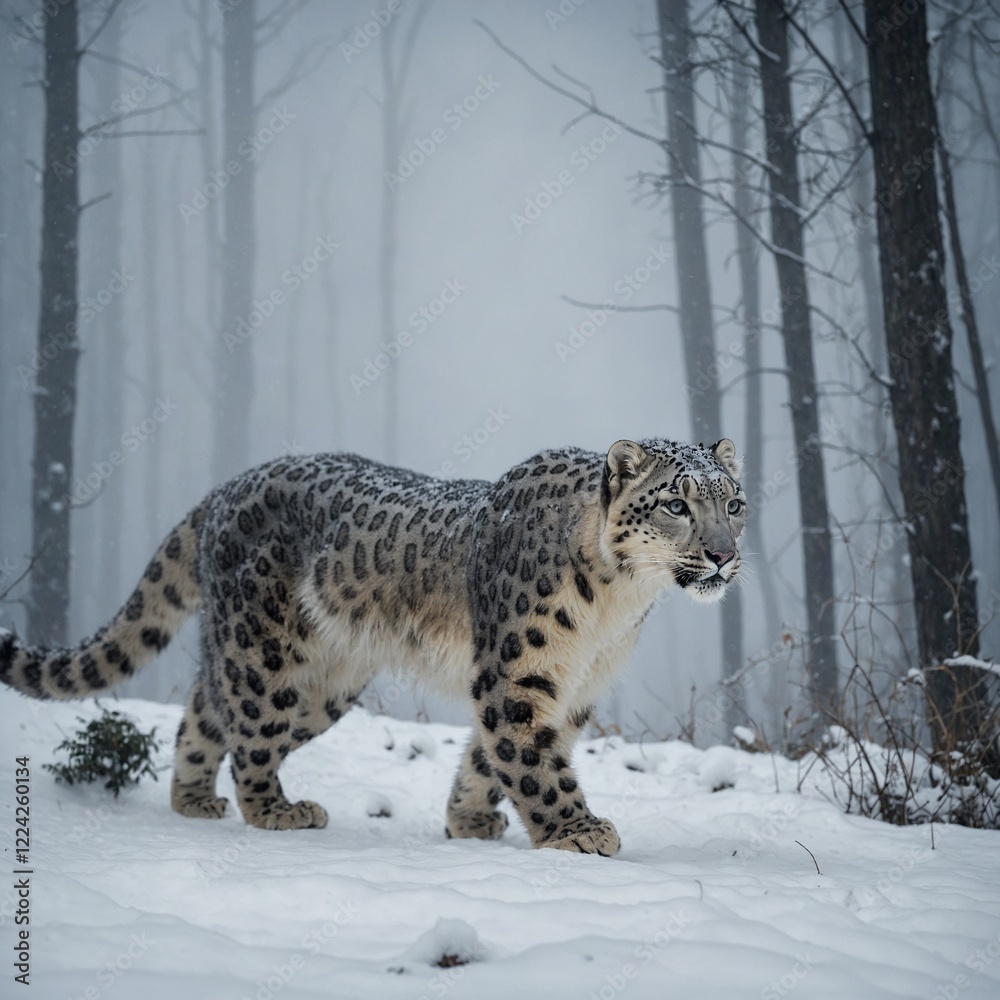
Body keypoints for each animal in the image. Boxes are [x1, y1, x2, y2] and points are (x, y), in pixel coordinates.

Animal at [0, 437, 745, 855]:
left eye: (733, 503)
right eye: (675, 504)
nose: (723, 555)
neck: (617, 606)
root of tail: (226, 487)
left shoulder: (575, 683)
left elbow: (492, 755)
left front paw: (467, 819)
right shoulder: (517, 672)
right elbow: (532, 759)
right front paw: (575, 830)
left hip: (322, 681)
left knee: (207, 711)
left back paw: (194, 798)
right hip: (266, 654)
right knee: (248, 731)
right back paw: (277, 810)